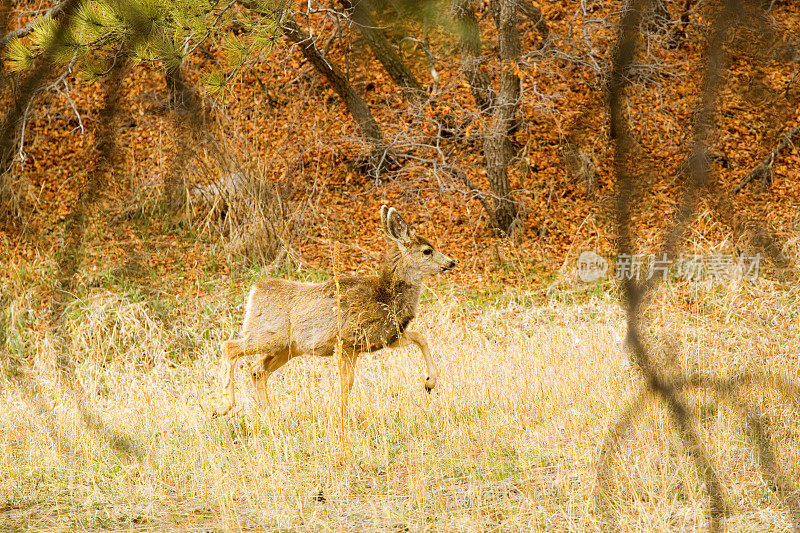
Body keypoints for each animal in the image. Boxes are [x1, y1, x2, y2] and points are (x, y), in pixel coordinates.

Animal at [212, 206, 456, 418]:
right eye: (427, 250)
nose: (451, 262)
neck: (386, 296)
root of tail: (254, 292)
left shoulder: (383, 338)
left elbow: (420, 337)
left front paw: (429, 382)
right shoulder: (346, 340)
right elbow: (347, 382)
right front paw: (342, 415)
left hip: (288, 347)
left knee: (257, 370)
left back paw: (271, 415)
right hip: (271, 335)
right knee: (229, 346)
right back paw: (223, 407)